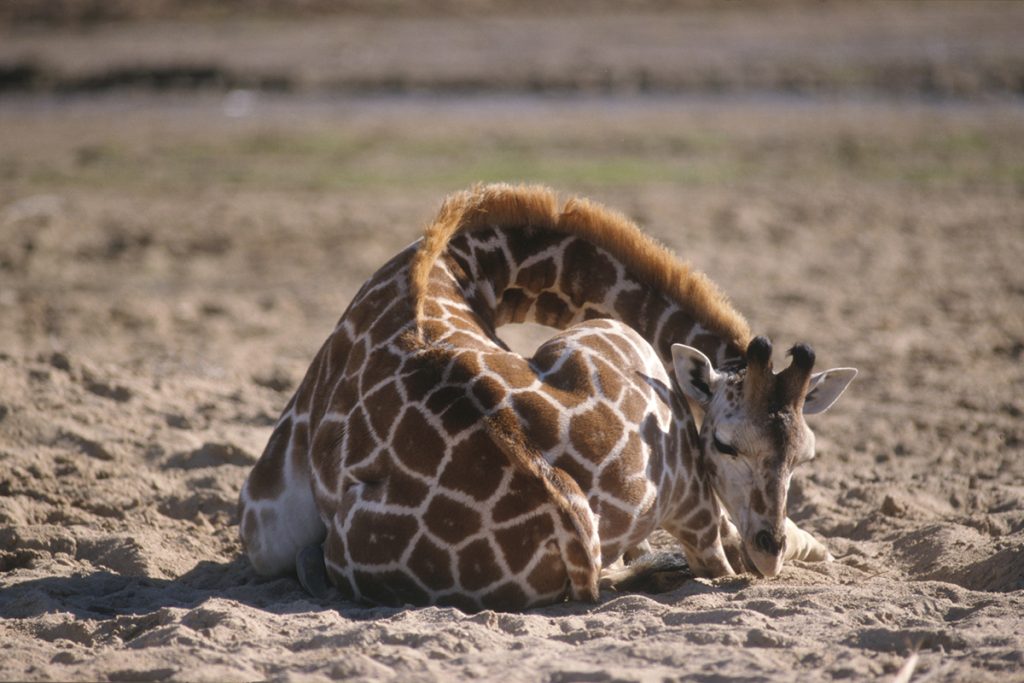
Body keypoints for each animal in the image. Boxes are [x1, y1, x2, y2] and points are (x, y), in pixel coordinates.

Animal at [237, 184, 856, 610]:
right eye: (726, 444)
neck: (460, 264)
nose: (769, 549)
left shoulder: (263, 509)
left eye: (805, 457)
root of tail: (563, 505)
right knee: (712, 559)